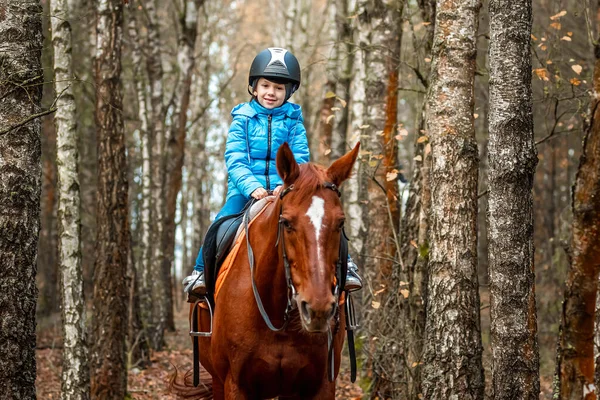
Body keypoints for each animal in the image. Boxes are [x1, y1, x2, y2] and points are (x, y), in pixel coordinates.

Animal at [173, 142, 360, 398]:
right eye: (287, 222)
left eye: (340, 222)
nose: (318, 309)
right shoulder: (236, 385)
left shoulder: (320, 385)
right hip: (218, 379)